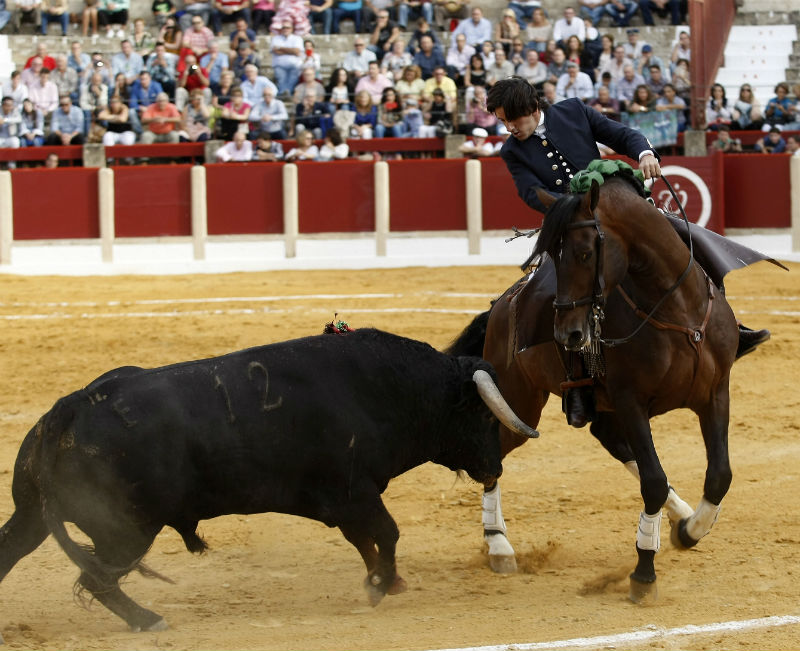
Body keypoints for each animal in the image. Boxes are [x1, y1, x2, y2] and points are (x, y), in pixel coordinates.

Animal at [0, 328, 536, 636]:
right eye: (483, 417)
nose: (495, 467)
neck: (381, 388)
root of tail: (68, 408)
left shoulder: (348, 503)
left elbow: (366, 540)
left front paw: (383, 580)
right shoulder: (354, 493)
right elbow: (386, 533)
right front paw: (381, 586)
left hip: (32, 516)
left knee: (13, 552)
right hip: (126, 530)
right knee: (98, 578)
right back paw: (148, 620)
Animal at [446, 176, 740, 604]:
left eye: (585, 253)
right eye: (552, 255)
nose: (567, 334)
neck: (678, 311)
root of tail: (501, 303)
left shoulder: (716, 393)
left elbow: (719, 475)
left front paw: (688, 532)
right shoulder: (630, 400)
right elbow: (653, 480)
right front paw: (643, 572)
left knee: (612, 441)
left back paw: (682, 513)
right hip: (520, 402)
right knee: (493, 453)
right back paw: (499, 545)